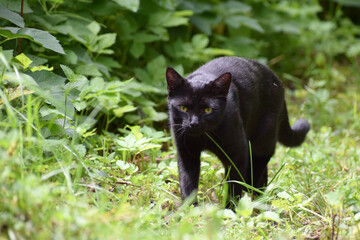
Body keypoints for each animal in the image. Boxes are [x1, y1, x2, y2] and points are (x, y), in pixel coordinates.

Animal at [166, 56, 310, 206]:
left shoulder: (237, 154)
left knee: (256, 172)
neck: (203, 137)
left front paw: (230, 209)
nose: (194, 123)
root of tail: (278, 81)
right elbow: (187, 184)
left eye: (208, 110)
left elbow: (234, 186)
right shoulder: (186, 154)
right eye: (183, 108)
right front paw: (190, 209)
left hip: (262, 143)